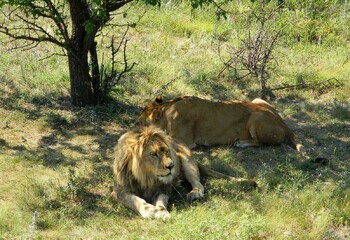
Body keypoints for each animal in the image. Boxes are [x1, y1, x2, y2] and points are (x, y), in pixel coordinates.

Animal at [112, 125, 258, 219]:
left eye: (166, 151)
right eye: (153, 154)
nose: (171, 166)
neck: (147, 178)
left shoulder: (164, 188)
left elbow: (161, 201)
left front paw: (162, 212)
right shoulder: (118, 191)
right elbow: (133, 199)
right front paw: (148, 209)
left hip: (187, 162)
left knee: (198, 184)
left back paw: (194, 194)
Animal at [138, 95, 302, 150]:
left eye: (140, 121)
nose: (134, 125)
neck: (167, 108)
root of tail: (285, 126)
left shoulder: (184, 141)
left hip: (256, 117)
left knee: (260, 142)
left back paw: (242, 143)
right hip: (257, 100)